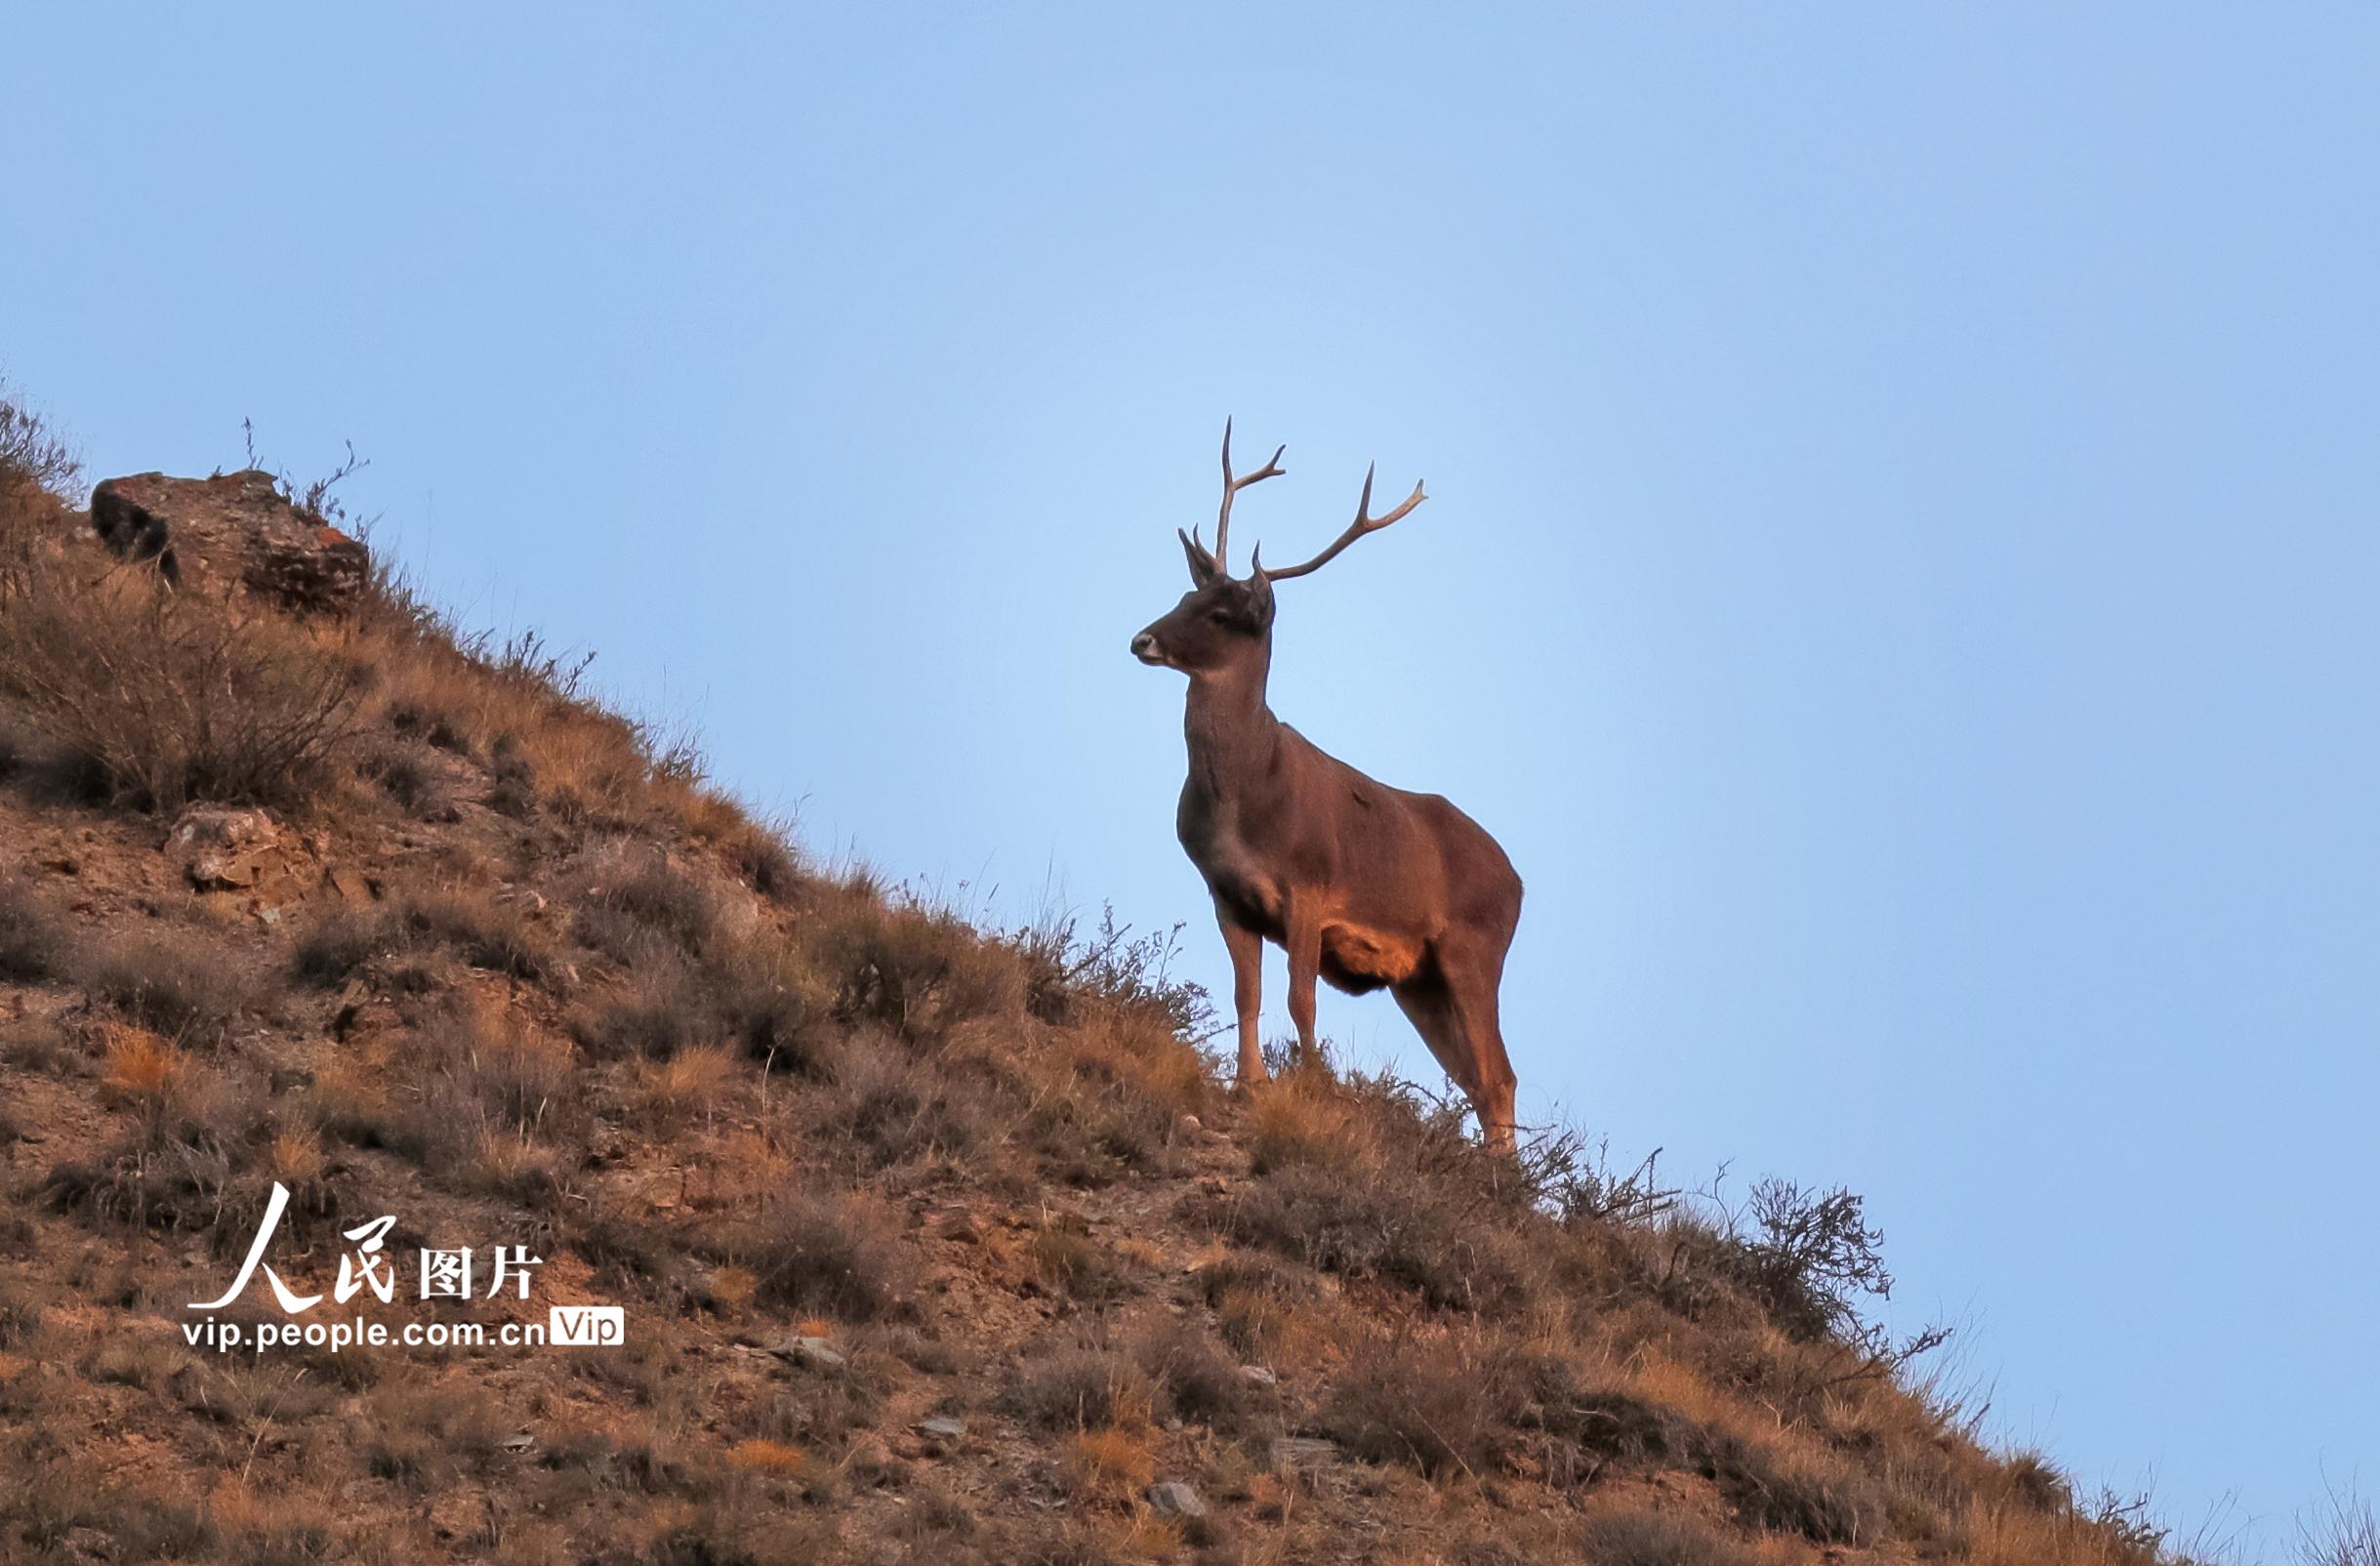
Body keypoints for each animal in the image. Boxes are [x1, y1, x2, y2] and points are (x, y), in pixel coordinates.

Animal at [1132, 423, 1523, 1146]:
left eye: (1223, 614)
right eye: (1185, 596)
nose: (1141, 639)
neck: (1244, 800)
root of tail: (1520, 881)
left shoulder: (1309, 885)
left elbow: (1301, 999)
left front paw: (1311, 1086)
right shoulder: (1225, 893)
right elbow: (1248, 994)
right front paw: (1249, 1083)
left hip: (1476, 948)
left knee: (1500, 1075)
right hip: (1419, 981)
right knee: (1480, 1081)